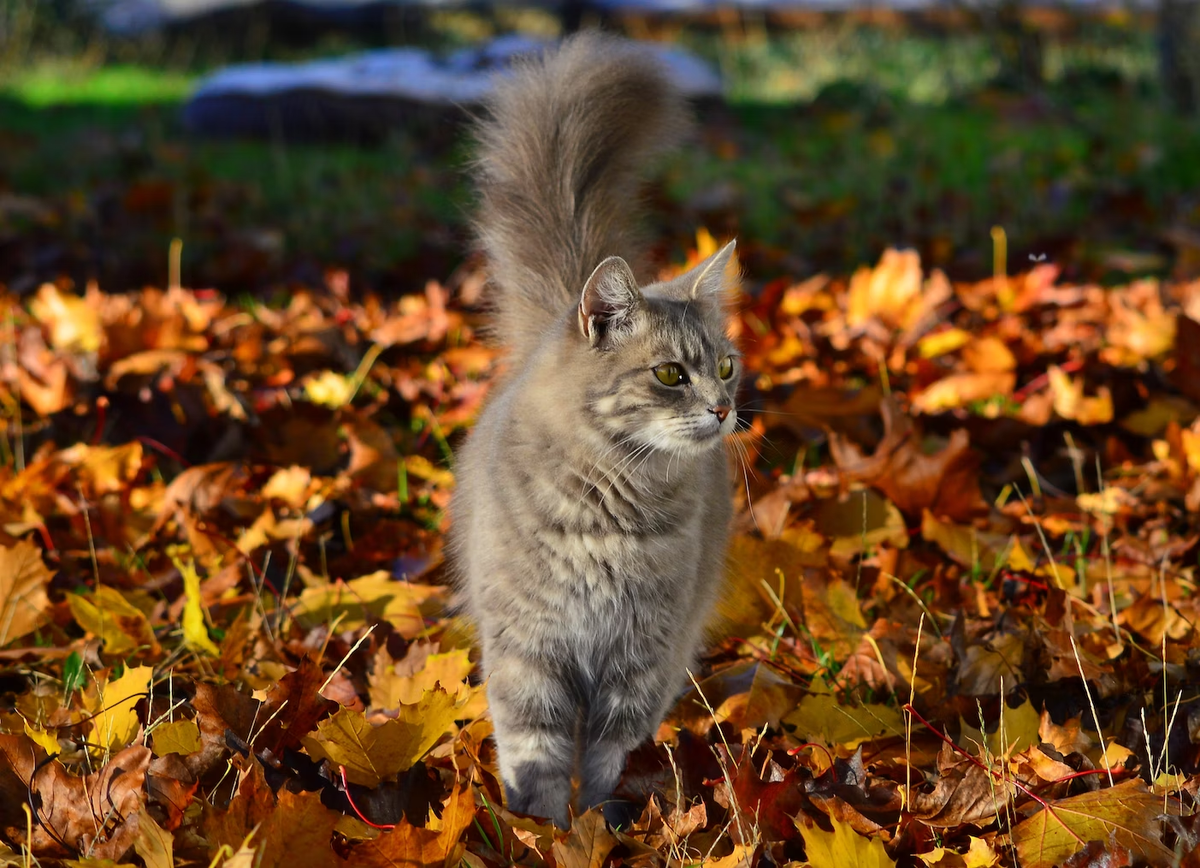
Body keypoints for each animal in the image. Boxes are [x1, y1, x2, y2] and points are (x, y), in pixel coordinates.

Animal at [451, 32, 739, 830]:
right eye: (671, 374)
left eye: (727, 367)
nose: (722, 408)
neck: (610, 512)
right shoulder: (531, 650)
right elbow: (537, 758)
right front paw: (545, 833)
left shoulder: (640, 657)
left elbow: (607, 756)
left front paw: (601, 829)